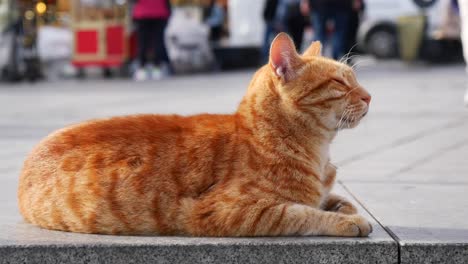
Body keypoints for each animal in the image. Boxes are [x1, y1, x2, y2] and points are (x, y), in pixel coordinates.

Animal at [16, 33, 372, 237]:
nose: (369, 96)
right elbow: (300, 213)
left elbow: (338, 200)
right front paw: (345, 222)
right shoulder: (226, 211)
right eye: (340, 83)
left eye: (355, 78)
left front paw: (343, 209)